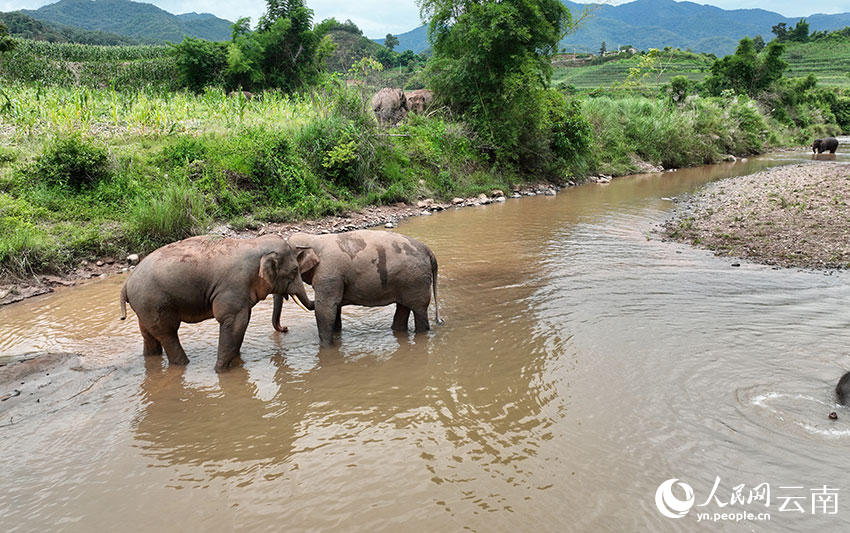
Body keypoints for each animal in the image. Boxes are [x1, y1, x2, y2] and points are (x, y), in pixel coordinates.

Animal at [119, 235, 314, 372]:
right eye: (294, 270)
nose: (286, 328)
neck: (254, 243)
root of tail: (126, 284)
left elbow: (241, 325)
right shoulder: (233, 289)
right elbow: (234, 323)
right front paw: (220, 371)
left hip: (144, 306)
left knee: (148, 335)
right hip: (154, 302)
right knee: (168, 334)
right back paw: (183, 364)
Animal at [286, 229, 444, 344]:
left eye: (293, 270)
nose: (286, 329)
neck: (313, 239)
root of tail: (429, 251)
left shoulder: (329, 274)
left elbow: (326, 308)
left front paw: (326, 347)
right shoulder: (334, 278)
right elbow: (334, 307)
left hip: (416, 280)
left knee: (419, 310)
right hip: (408, 280)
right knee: (403, 307)